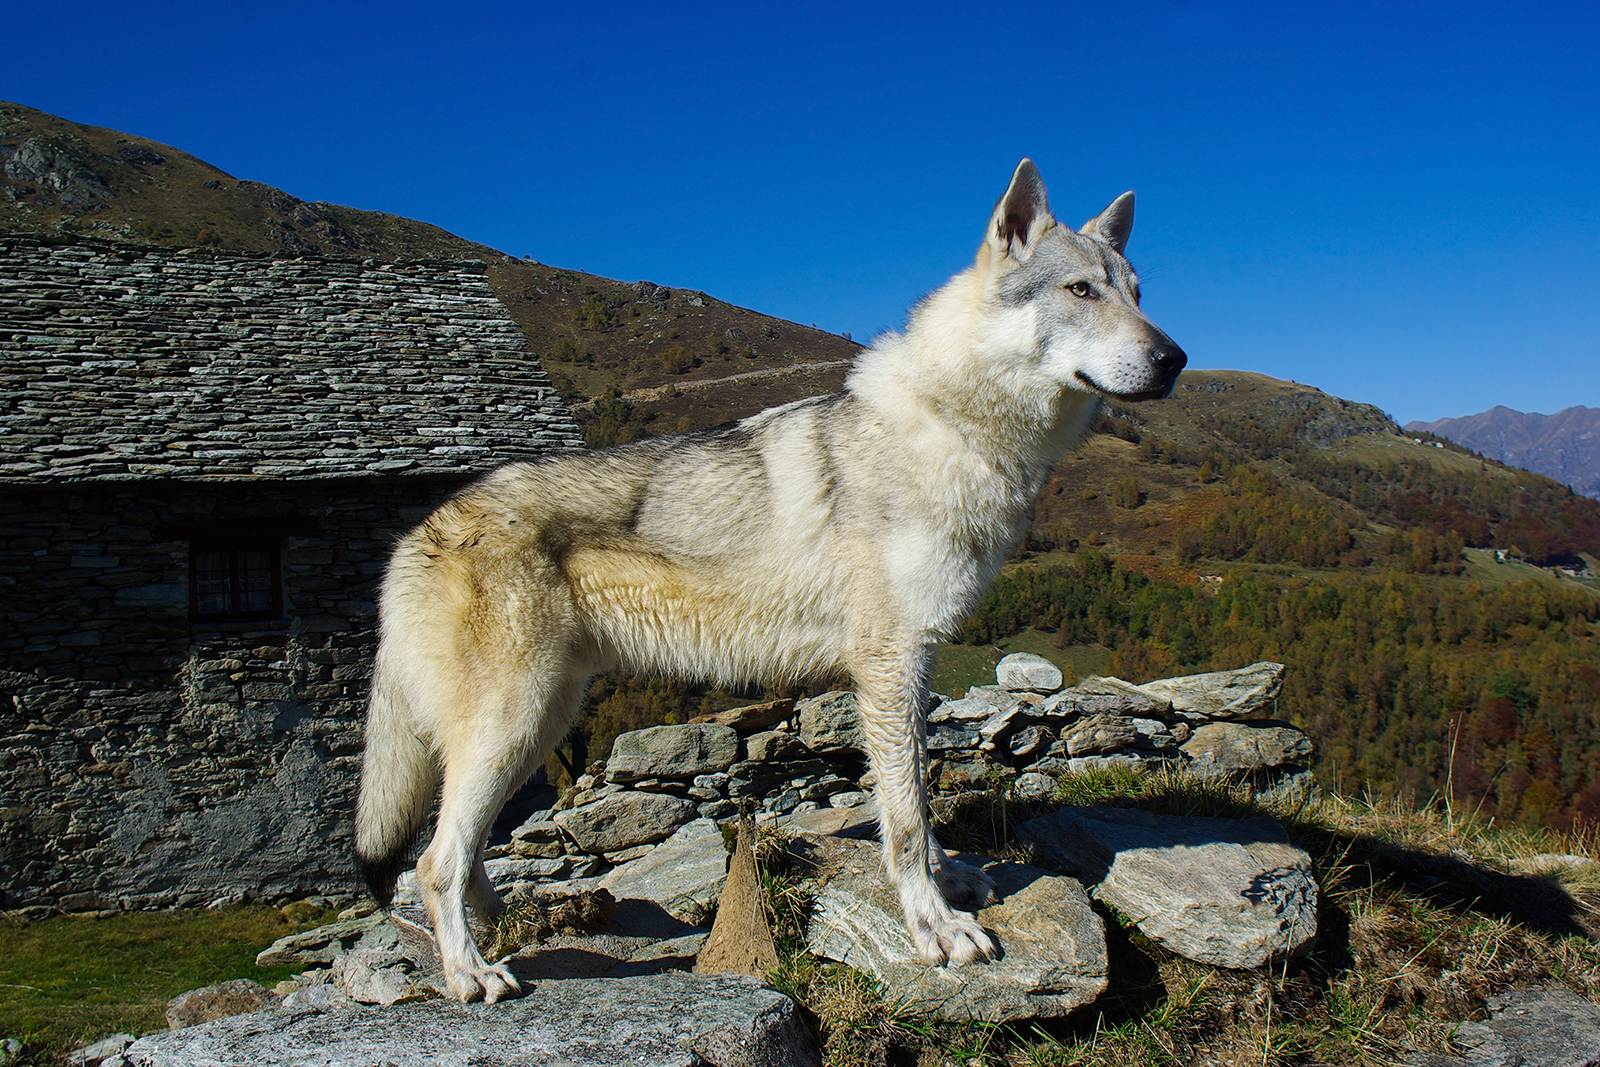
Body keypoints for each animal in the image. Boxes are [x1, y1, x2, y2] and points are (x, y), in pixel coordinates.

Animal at [356, 158, 1184, 1004]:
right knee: (433, 862)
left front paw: (951, 880)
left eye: (1137, 293)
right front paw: (935, 926)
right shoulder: (891, 663)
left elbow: (921, 799)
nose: (1175, 359)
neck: (955, 427)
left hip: (538, 723)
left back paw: (513, 922)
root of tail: (413, 535)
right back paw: (471, 972)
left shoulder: (915, 665)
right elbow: (906, 817)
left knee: (468, 852)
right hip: (512, 723)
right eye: (1081, 290)